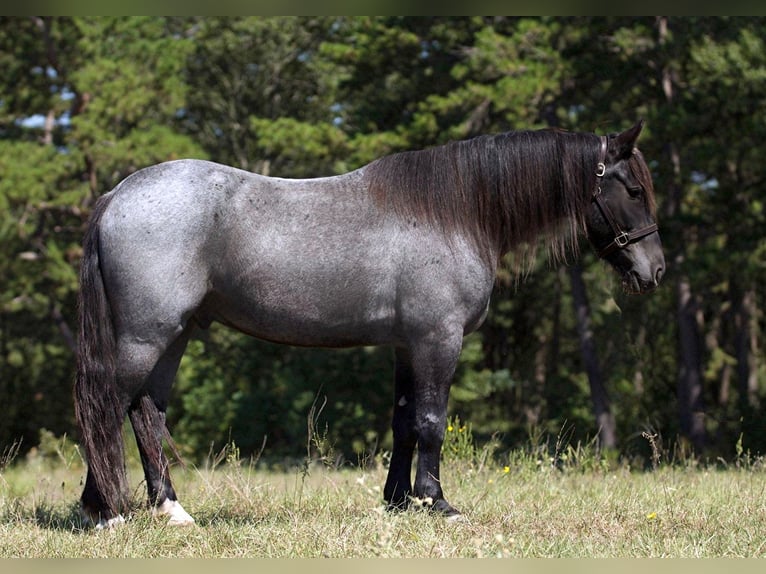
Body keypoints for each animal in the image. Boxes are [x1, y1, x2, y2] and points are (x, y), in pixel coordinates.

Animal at [76, 122, 664, 532]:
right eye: (633, 190)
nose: (654, 271)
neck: (453, 213)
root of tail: (116, 196)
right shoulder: (437, 340)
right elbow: (431, 421)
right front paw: (437, 503)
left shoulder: (407, 345)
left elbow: (403, 422)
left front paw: (399, 501)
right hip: (146, 335)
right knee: (106, 407)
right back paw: (104, 511)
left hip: (173, 336)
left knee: (146, 414)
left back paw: (170, 511)